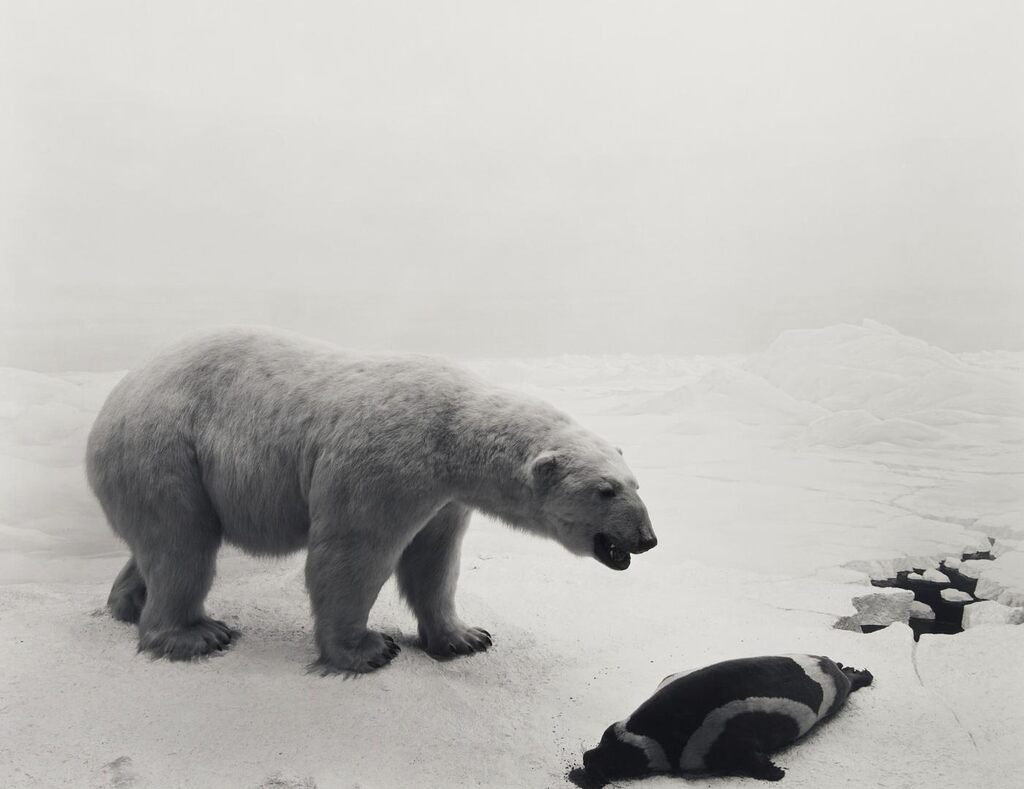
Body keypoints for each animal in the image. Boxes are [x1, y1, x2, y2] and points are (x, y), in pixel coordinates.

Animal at [86, 328, 657, 673]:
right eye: (605, 490)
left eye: (636, 483)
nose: (647, 539)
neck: (454, 433)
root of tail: (113, 400)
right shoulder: (387, 463)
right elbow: (353, 553)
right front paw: (366, 649)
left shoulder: (445, 498)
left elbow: (434, 561)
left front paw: (466, 637)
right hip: (165, 451)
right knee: (183, 544)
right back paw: (195, 634)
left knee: (160, 545)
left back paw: (127, 605)